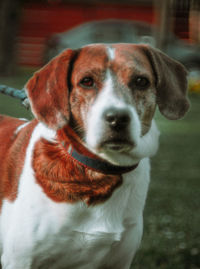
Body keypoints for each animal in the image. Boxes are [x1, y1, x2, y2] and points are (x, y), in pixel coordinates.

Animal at [0, 43, 189, 266]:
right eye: (87, 81)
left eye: (141, 81)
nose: (117, 118)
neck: (98, 171)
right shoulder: (19, 259)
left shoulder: (119, 261)